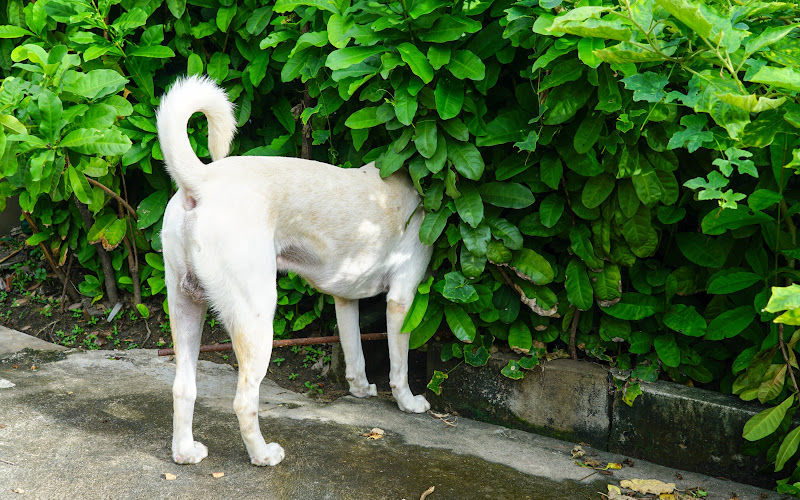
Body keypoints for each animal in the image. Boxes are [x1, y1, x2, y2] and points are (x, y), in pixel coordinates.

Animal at [156, 76, 432, 466]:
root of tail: (202, 181)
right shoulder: (402, 298)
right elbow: (399, 367)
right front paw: (408, 402)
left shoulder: (344, 299)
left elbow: (355, 353)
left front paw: (361, 389)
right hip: (256, 321)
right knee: (244, 401)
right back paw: (263, 455)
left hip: (184, 308)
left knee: (183, 388)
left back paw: (185, 452)